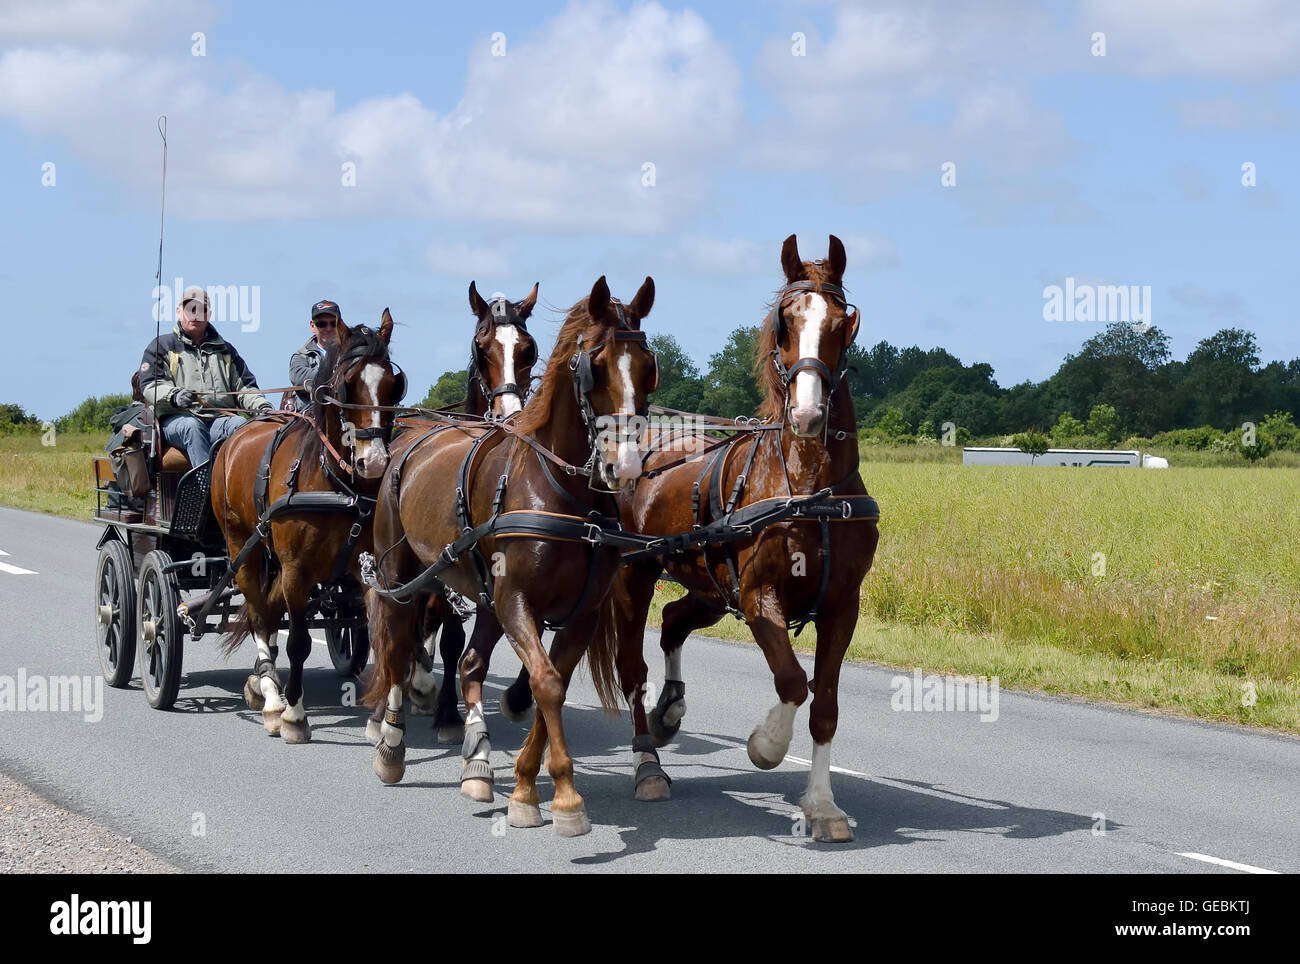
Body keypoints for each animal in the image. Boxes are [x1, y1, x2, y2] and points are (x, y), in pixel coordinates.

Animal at [210, 311, 406, 742]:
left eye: (393, 384)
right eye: (348, 383)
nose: (375, 463)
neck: (335, 482)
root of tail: (237, 436)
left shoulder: (368, 570)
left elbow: (383, 636)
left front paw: (379, 722)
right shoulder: (296, 569)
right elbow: (298, 641)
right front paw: (294, 715)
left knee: (267, 611)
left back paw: (260, 682)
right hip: (242, 548)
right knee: (261, 617)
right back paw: (271, 698)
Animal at [364, 282, 541, 744]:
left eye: (528, 349)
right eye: (482, 346)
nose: (510, 414)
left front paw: (516, 697)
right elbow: (450, 638)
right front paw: (445, 711)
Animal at [595, 235, 880, 842]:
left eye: (843, 322)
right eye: (784, 323)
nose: (808, 414)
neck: (810, 487)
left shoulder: (842, 605)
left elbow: (824, 704)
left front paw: (822, 805)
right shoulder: (757, 597)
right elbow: (792, 682)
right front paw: (766, 745)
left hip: (709, 586)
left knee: (674, 621)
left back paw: (670, 710)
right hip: (636, 575)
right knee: (633, 668)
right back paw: (647, 762)